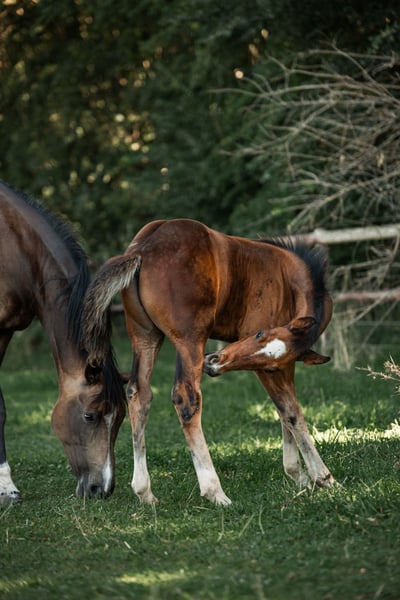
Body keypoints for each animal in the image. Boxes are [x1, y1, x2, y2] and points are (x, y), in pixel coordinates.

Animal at [81, 218, 334, 506]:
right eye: (259, 333)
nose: (214, 362)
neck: (289, 277)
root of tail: (142, 249)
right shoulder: (272, 368)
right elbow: (291, 411)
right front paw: (321, 477)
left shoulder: (281, 365)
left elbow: (285, 411)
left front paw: (299, 474)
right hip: (190, 341)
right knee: (187, 399)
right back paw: (215, 491)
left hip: (145, 337)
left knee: (139, 394)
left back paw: (144, 491)